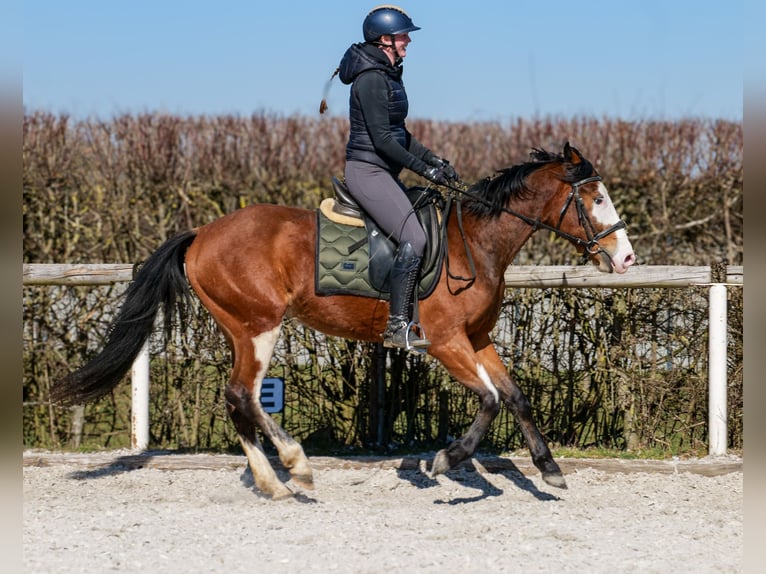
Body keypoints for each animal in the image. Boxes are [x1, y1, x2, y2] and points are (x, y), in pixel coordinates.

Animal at [49, 143, 636, 500]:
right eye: (595, 197)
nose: (626, 257)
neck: (476, 243)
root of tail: (202, 234)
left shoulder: (478, 338)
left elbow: (515, 397)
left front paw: (550, 469)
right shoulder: (447, 341)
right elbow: (490, 401)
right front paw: (446, 461)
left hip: (245, 329)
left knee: (240, 398)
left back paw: (275, 481)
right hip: (257, 325)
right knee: (244, 395)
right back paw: (293, 467)